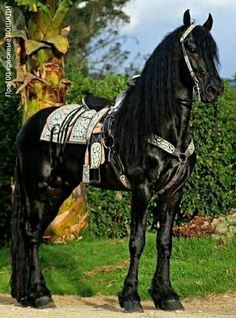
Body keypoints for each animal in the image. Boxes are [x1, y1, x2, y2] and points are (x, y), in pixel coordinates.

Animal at [11, 9, 223, 310]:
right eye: (192, 48)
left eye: (212, 51)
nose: (214, 89)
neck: (156, 123)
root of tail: (27, 127)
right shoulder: (142, 189)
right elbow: (137, 241)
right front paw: (131, 297)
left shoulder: (173, 193)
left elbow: (165, 242)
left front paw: (166, 295)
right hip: (36, 190)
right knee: (30, 235)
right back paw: (41, 295)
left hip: (56, 191)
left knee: (36, 234)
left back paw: (30, 295)